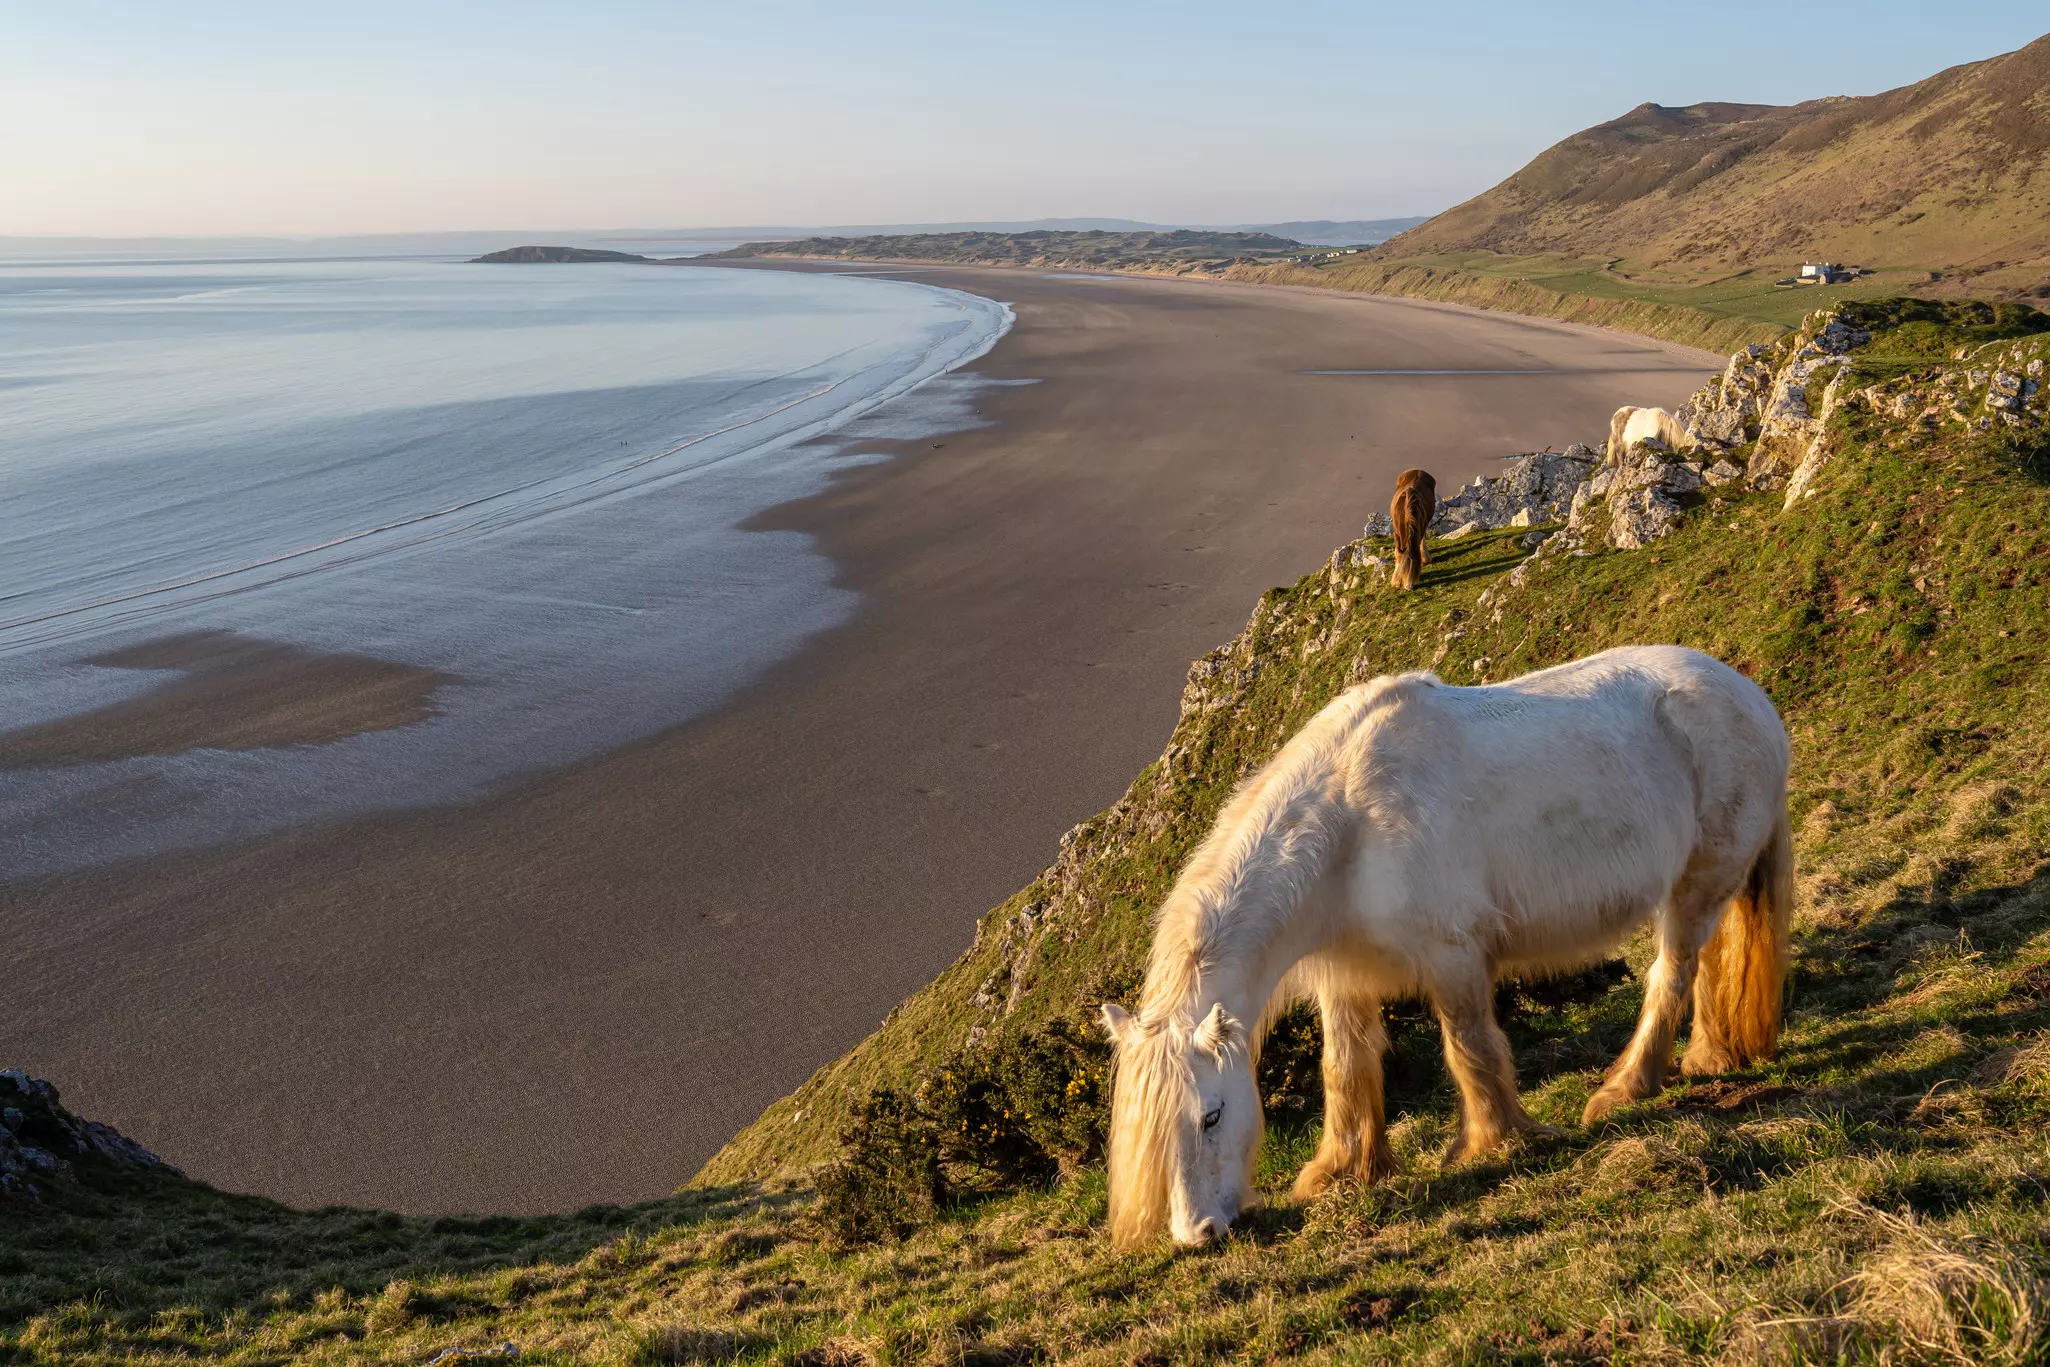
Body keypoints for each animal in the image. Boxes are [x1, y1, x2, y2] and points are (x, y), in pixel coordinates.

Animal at [1100, 645, 1792, 1247]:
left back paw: (1623, 1089)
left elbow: (1470, 1046)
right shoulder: (1343, 975)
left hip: (1696, 884)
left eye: (1211, 1115)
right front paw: (1342, 1172)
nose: (1197, 1234)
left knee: (1671, 974)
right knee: (1708, 966)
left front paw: (1495, 1141)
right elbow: (1345, 1067)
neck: (1347, 826)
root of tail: (1751, 697)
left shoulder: (1451, 952)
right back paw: (1711, 1057)